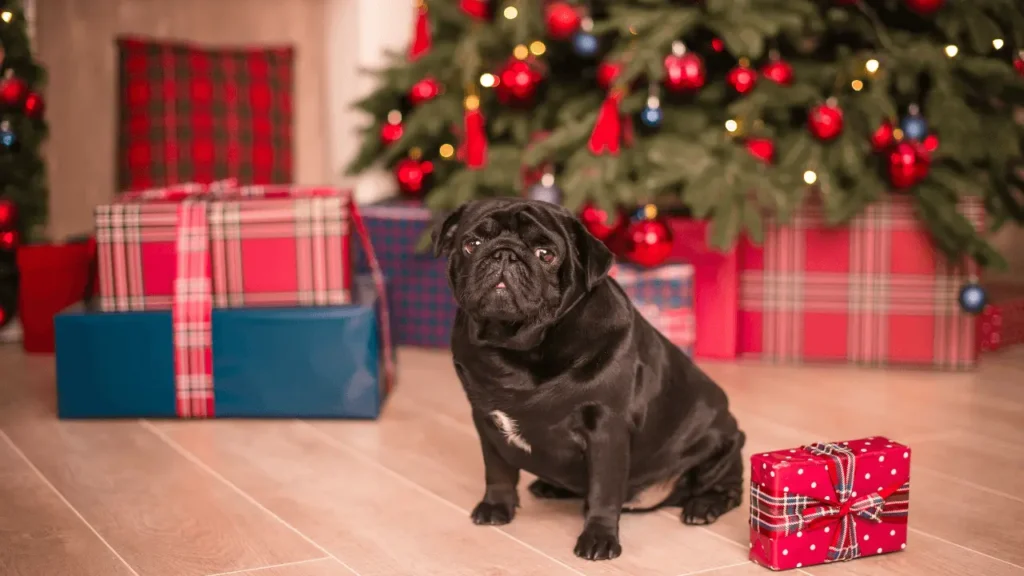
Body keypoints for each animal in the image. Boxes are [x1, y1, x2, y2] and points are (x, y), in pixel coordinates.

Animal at [432, 198, 745, 561]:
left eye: (545, 254)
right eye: (472, 244)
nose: (504, 254)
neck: (517, 348)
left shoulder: (607, 430)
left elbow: (603, 491)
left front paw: (599, 538)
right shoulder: (486, 421)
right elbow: (497, 470)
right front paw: (497, 507)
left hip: (720, 444)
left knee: (728, 487)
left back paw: (703, 506)